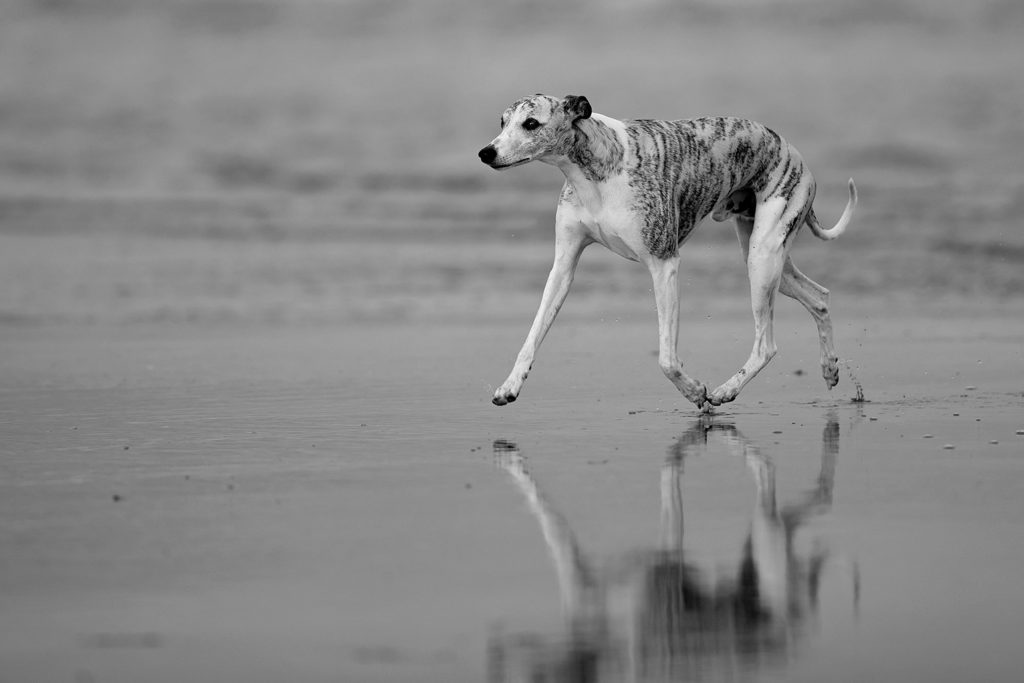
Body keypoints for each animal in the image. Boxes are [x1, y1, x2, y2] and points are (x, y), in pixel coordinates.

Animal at [479, 95, 856, 411]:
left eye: (531, 123)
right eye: (502, 122)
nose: (486, 153)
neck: (598, 169)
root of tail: (791, 151)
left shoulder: (664, 264)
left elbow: (666, 359)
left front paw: (695, 392)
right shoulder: (563, 266)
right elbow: (532, 335)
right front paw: (509, 387)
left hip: (762, 260)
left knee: (767, 345)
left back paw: (726, 390)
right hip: (767, 258)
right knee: (819, 297)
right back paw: (830, 369)